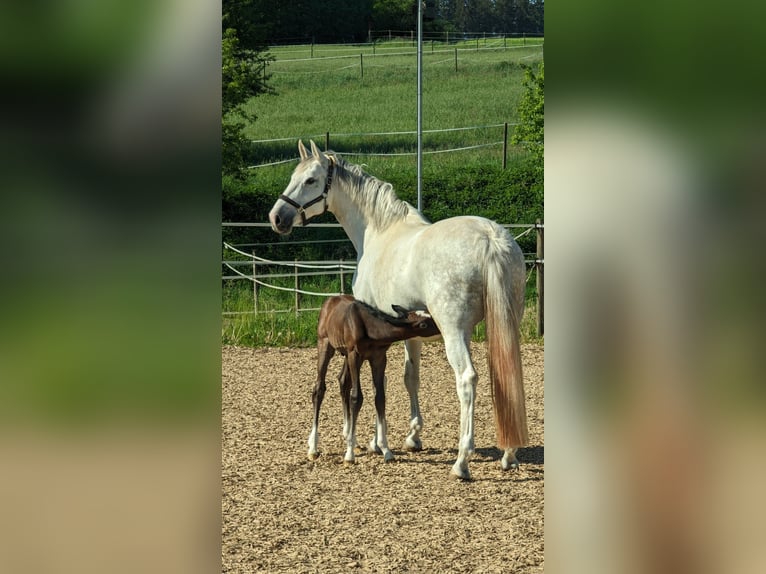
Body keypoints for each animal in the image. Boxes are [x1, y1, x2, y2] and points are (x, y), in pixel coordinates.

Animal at [308, 296, 440, 464]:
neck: (371, 329)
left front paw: (386, 450)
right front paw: (349, 455)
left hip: (345, 354)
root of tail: (330, 300)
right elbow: (356, 397)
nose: (442, 326)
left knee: (343, 382)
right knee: (319, 389)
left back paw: (350, 437)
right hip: (325, 344)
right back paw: (313, 448)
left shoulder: (378, 357)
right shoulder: (354, 355)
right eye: (424, 324)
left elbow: (380, 398)